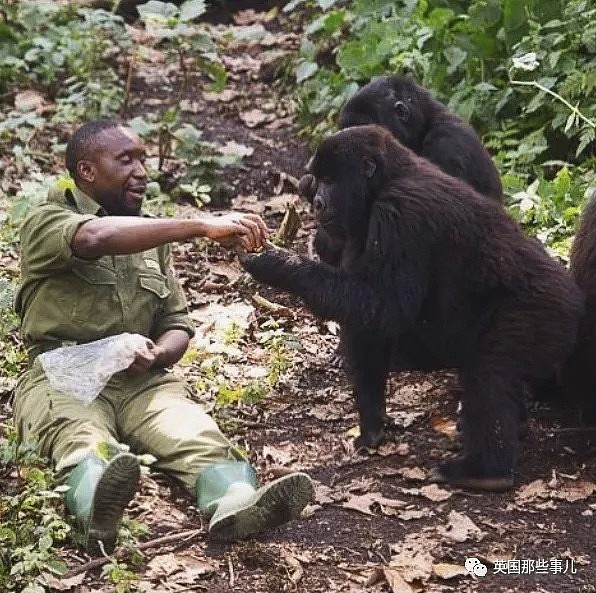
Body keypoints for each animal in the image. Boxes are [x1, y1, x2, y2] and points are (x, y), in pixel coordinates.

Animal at [241, 127, 584, 492]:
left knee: (491, 369)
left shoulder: (399, 213)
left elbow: (383, 304)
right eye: (318, 180)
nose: (318, 202)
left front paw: (278, 264)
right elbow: (366, 318)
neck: (386, 179)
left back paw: (485, 470)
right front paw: (372, 423)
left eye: (331, 180)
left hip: (546, 313)